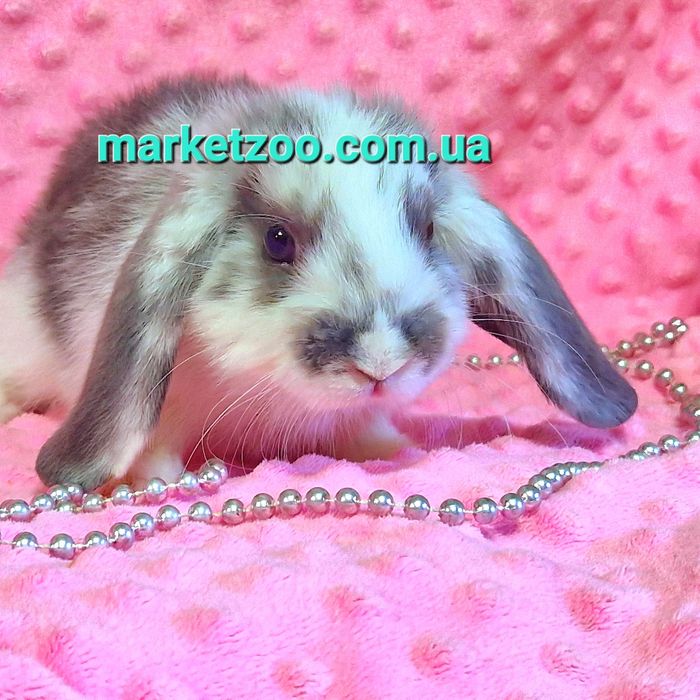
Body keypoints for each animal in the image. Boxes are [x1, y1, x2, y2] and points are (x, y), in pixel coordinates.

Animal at [0, 74, 637, 490]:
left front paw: (391, 446)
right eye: (278, 240)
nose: (380, 363)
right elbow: (152, 443)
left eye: (429, 228)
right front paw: (151, 481)